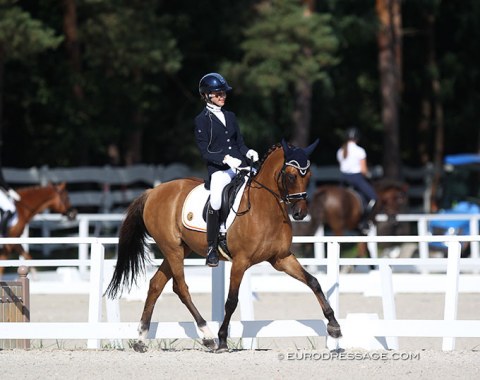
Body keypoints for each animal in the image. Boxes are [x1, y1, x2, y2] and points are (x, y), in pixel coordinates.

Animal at [107, 140, 344, 354]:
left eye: (309, 176)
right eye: (292, 175)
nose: (300, 213)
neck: (265, 208)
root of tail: (153, 191)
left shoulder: (281, 258)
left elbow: (313, 282)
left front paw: (334, 326)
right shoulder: (240, 261)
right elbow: (231, 301)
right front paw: (222, 340)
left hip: (180, 249)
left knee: (156, 285)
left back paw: (141, 339)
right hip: (172, 249)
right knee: (181, 288)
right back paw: (208, 336)